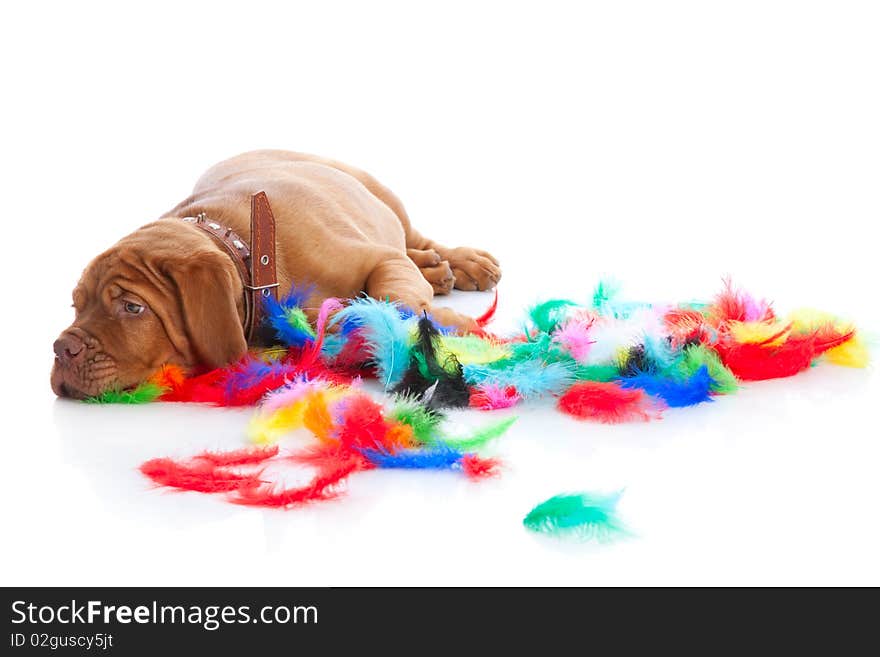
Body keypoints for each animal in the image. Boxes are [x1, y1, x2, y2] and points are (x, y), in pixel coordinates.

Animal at [49, 151, 502, 398]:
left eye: (132, 308)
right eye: (75, 306)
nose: (61, 348)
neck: (247, 253)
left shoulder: (379, 259)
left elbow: (394, 296)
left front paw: (440, 328)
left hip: (381, 196)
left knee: (414, 239)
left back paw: (460, 264)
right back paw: (437, 270)